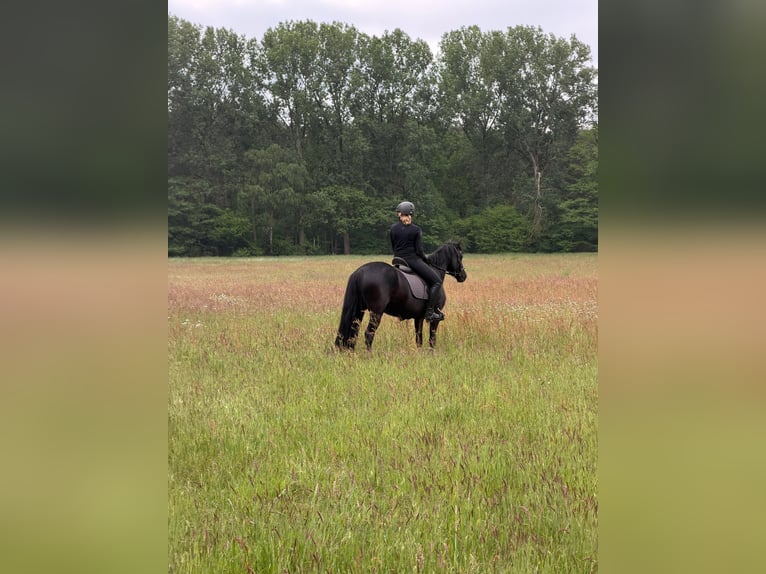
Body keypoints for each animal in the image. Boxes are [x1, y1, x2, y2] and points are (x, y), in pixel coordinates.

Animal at [334, 241, 467, 350]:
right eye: (460, 256)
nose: (463, 276)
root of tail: (360, 272)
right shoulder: (434, 319)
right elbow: (432, 338)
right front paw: (432, 352)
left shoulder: (418, 317)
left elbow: (418, 338)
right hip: (376, 312)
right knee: (369, 333)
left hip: (359, 310)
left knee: (353, 331)